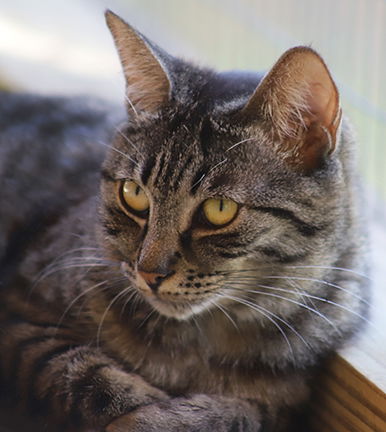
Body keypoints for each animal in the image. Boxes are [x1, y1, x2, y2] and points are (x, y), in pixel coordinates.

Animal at [0, 10, 370, 432]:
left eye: (219, 209)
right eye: (133, 193)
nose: (149, 273)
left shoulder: (284, 402)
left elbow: (240, 414)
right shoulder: (20, 319)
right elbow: (87, 377)